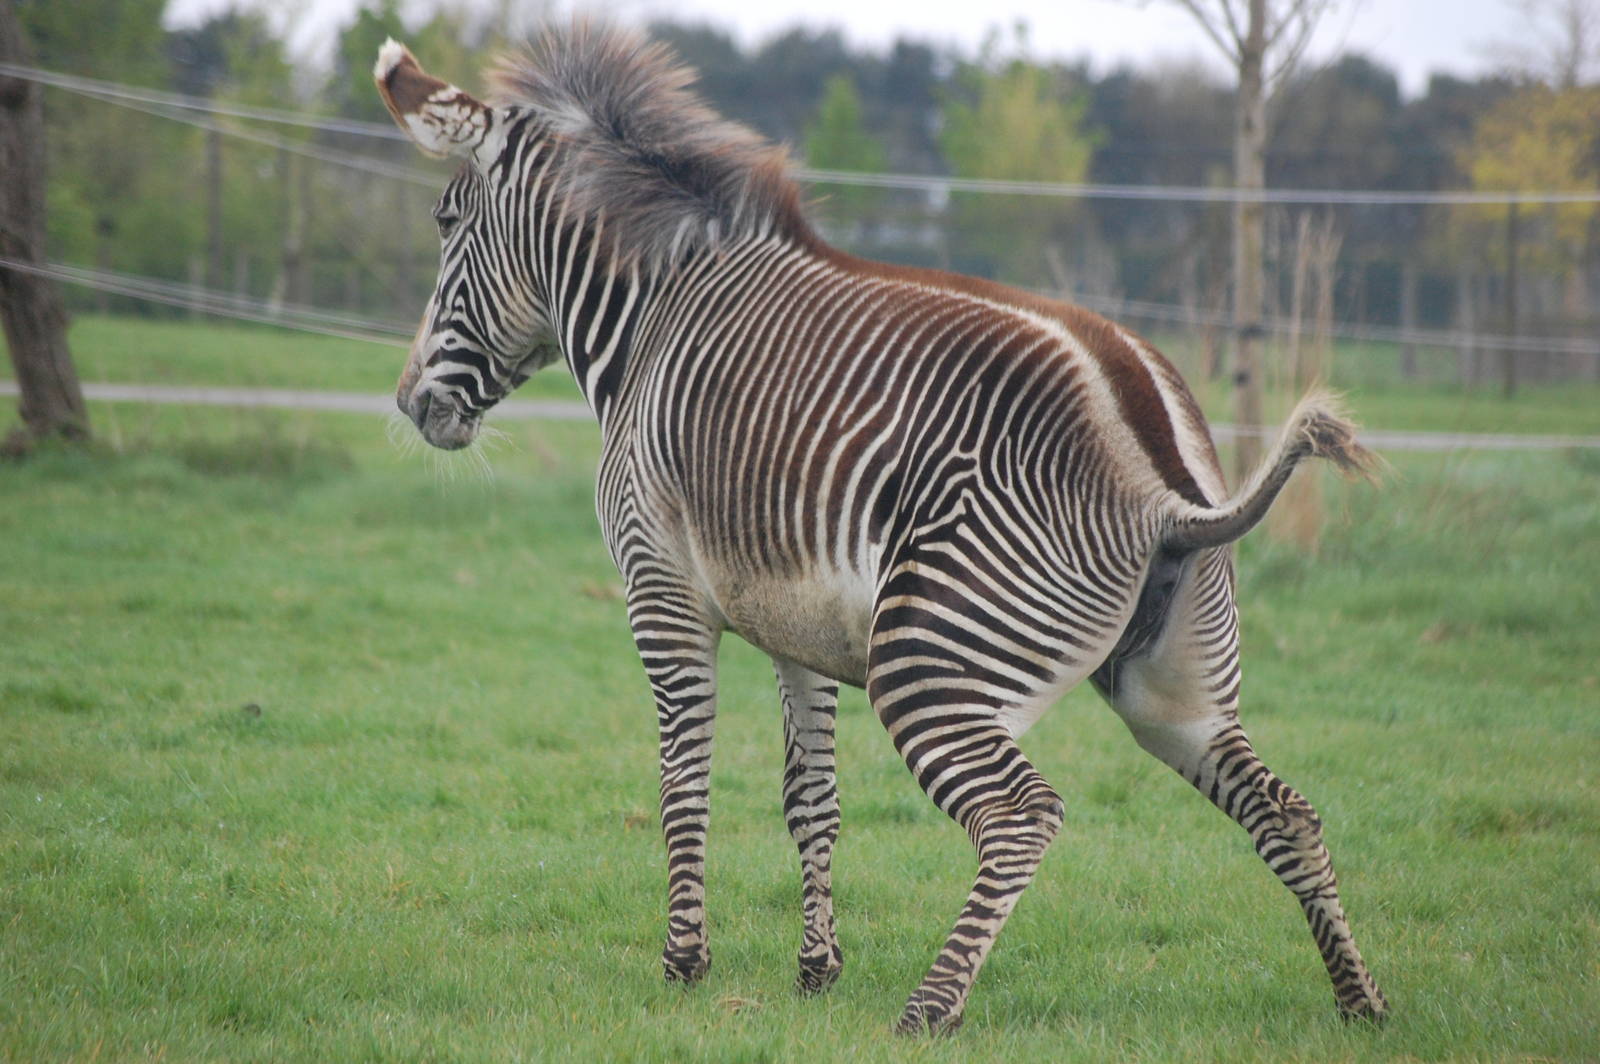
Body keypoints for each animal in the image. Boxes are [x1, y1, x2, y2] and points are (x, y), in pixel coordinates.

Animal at [374, 23, 1388, 1033]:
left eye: (445, 223)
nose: (411, 404)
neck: (654, 318)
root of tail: (1154, 471)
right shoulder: (796, 620)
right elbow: (810, 798)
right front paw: (815, 968)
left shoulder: (659, 590)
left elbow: (683, 780)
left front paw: (685, 964)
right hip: (1174, 693)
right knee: (1287, 813)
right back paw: (1362, 1002)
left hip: (930, 661)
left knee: (1020, 817)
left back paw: (928, 1009)